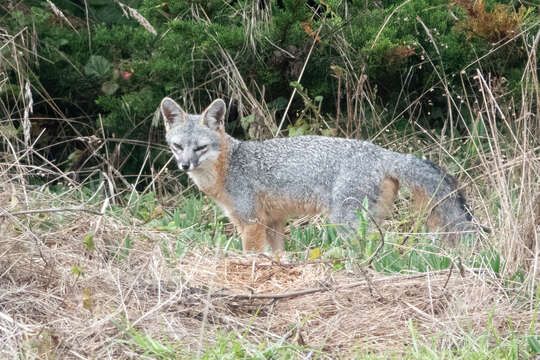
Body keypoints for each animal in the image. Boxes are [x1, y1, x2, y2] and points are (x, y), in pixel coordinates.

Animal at [159, 97, 476, 252]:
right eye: (178, 147)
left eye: (200, 147)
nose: (185, 165)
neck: (229, 166)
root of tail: (381, 152)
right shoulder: (273, 221)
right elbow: (277, 255)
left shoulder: (250, 223)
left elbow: (252, 256)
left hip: (343, 221)